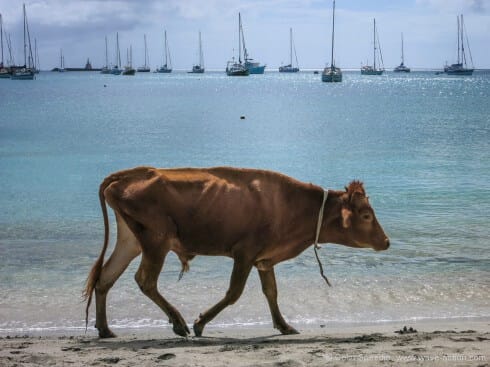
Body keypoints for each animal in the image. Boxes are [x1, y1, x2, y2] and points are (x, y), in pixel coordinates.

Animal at [84, 167, 390, 340]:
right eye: (366, 215)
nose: (387, 241)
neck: (297, 207)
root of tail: (129, 174)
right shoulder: (244, 252)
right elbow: (234, 293)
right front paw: (200, 323)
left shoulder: (264, 258)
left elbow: (272, 292)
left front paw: (284, 326)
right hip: (155, 240)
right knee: (145, 280)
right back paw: (179, 324)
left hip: (130, 241)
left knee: (105, 278)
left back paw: (105, 329)